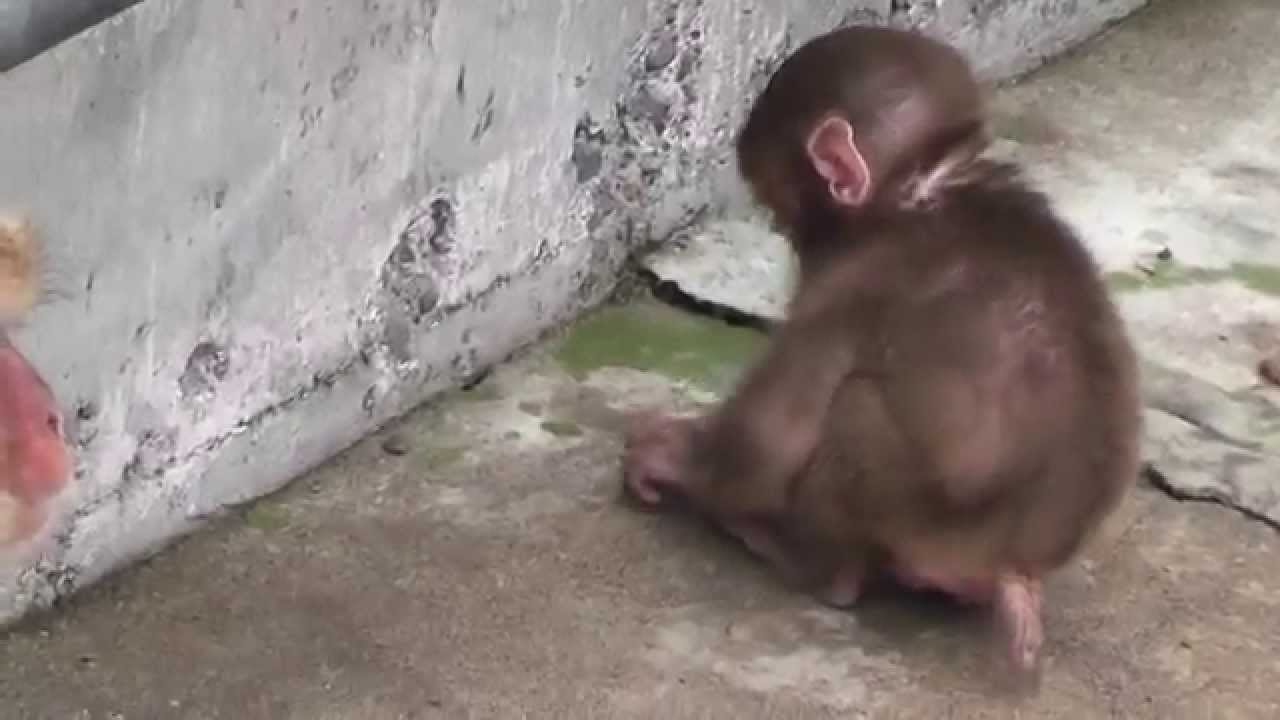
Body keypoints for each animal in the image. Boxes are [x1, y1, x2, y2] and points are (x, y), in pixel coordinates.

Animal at [621, 25, 1142, 679]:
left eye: (781, 207)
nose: (790, 243)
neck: (930, 181)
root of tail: (1010, 562)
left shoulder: (849, 283)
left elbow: (769, 439)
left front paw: (670, 458)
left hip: (917, 516)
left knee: (852, 408)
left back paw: (807, 560)